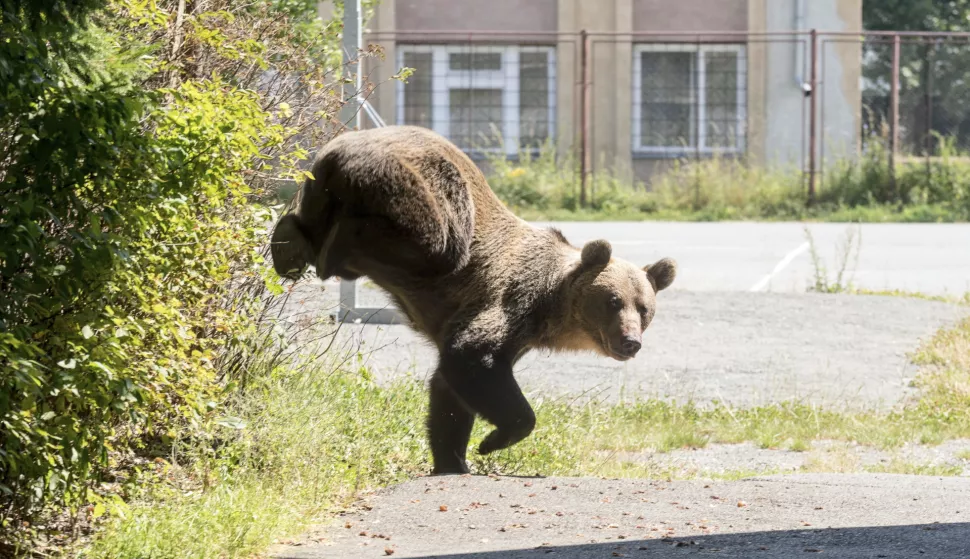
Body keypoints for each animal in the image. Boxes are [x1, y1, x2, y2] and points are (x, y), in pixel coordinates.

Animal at [266, 127, 672, 476]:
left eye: (644, 309)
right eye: (613, 301)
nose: (630, 341)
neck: (550, 307)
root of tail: (340, 148)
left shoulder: (518, 336)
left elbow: (448, 392)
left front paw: (453, 457)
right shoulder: (510, 299)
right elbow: (471, 355)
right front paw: (491, 442)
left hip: (319, 185)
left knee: (308, 221)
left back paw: (288, 244)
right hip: (423, 191)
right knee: (434, 239)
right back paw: (334, 246)